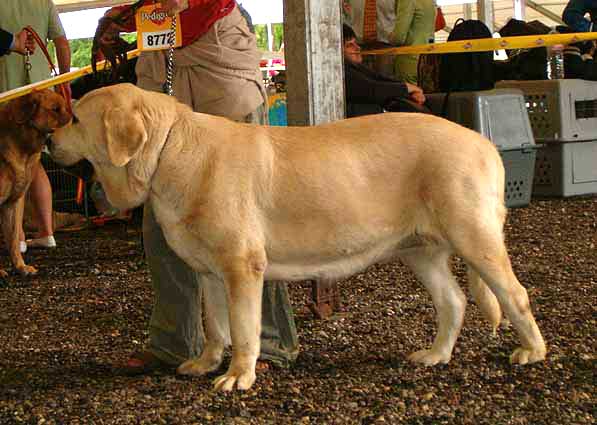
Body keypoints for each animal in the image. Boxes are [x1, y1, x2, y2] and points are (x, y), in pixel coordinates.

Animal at [50, 83, 544, 390]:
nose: (49, 141)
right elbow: (214, 325)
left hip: (474, 236)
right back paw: (436, 355)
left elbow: (243, 329)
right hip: (420, 251)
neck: (169, 148)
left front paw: (238, 375)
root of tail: (483, 143)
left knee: (515, 295)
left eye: (73, 117)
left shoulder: (241, 266)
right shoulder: (209, 273)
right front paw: (207, 362)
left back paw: (532, 352)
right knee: (454, 301)